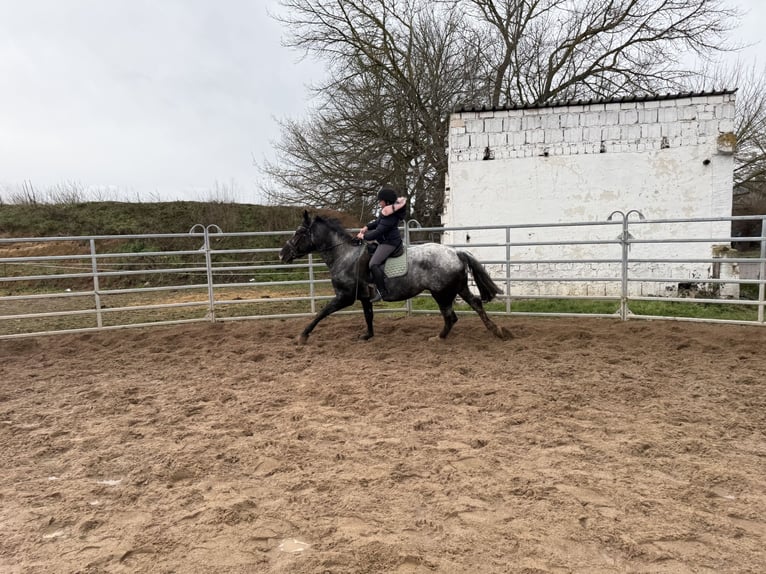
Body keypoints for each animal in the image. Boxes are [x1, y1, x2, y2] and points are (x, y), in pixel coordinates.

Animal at [280, 213, 512, 344]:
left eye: (299, 232)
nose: (282, 254)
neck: (345, 256)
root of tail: (456, 252)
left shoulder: (344, 297)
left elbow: (322, 313)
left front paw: (302, 336)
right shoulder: (365, 297)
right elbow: (368, 316)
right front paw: (367, 336)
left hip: (441, 293)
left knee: (451, 317)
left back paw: (439, 338)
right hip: (458, 288)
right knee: (475, 304)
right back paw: (497, 331)